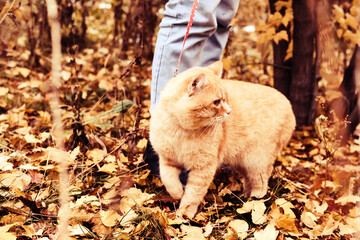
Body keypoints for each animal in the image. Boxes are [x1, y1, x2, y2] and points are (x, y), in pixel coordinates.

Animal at [149, 61, 296, 218]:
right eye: (216, 102)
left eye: (224, 99)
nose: (229, 111)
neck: (179, 131)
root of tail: (289, 105)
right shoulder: (167, 160)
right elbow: (168, 179)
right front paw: (177, 194)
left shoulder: (203, 168)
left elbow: (193, 194)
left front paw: (185, 213)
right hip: (241, 161)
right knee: (249, 178)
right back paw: (245, 194)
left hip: (257, 161)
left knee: (261, 181)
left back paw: (254, 200)